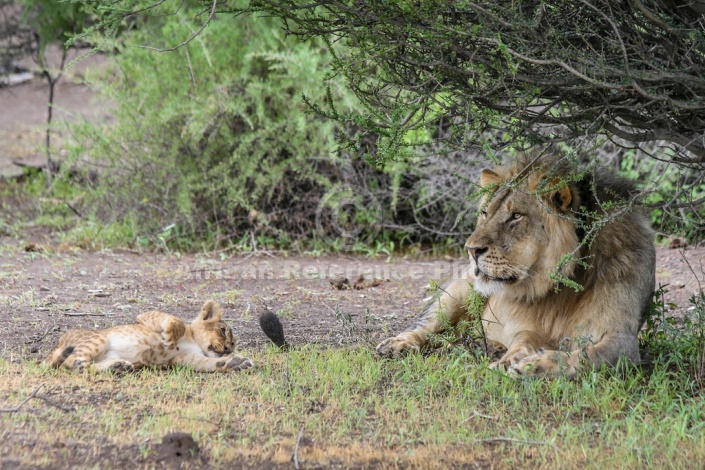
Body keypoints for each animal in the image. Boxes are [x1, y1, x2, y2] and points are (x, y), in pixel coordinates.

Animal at [376, 149, 656, 376]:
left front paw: (533, 366)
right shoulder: (529, 326)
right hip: (459, 291)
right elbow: (523, 341)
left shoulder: (621, 342)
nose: (471, 250)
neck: (564, 282)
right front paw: (509, 362)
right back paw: (397, 344)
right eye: (485, 213)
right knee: (431, 325)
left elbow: (585, 357)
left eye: (516, 216)